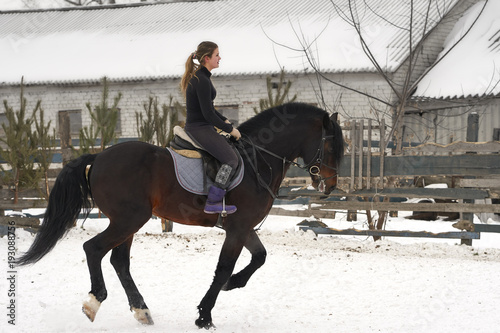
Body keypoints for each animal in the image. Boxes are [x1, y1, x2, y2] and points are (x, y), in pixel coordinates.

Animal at [15, 102, 344, 328]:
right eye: (330, 144)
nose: (329, 186)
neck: (258, 159)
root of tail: (99, 157)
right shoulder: (238, 228)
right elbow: (223, 267)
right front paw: (205, 316)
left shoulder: (243, 227)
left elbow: (259, 257)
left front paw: (232, 284)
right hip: (128, 220)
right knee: (93, 249)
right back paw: (94, 303)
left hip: (128, 223)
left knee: (119, 261)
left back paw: (142, 311)